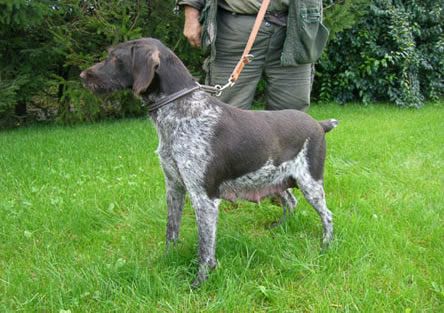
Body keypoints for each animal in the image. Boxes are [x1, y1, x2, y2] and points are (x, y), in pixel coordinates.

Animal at [80, 37, 338, 286]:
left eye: (115, 58)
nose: (82, 76)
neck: (180, 112)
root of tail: (319, 124)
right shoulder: (174, 187)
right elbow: (171, 231)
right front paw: (167, 260)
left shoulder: (204, 198)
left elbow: (205, 248)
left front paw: (199, 282)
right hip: (275, 180)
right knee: (291, 202)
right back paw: (280, 228)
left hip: (310, 183)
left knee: (327, 215)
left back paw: (325, 246)